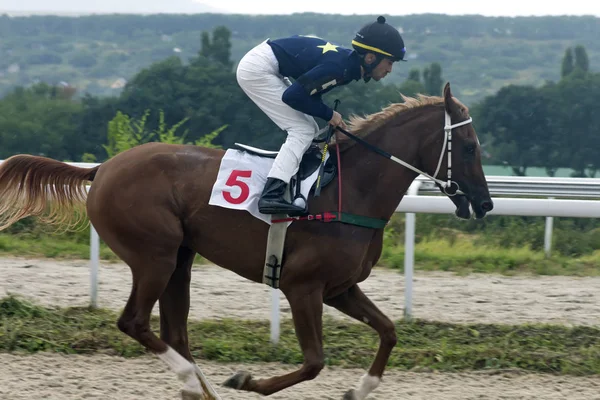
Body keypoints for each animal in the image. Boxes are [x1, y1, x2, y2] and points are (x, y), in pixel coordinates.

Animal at [0, 83, 492, 398]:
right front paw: (247, 381)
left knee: (174, 332)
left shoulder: (340, 288)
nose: (485, 204)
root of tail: (102, 168)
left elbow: (388, 331)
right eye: (469, 146)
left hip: (180, 259)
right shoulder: (301, 286)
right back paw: (192, 383)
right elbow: (314, 362)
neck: (350, 189)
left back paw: (197, 387)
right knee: (135, 323)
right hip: (154, 256)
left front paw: (360, 389)